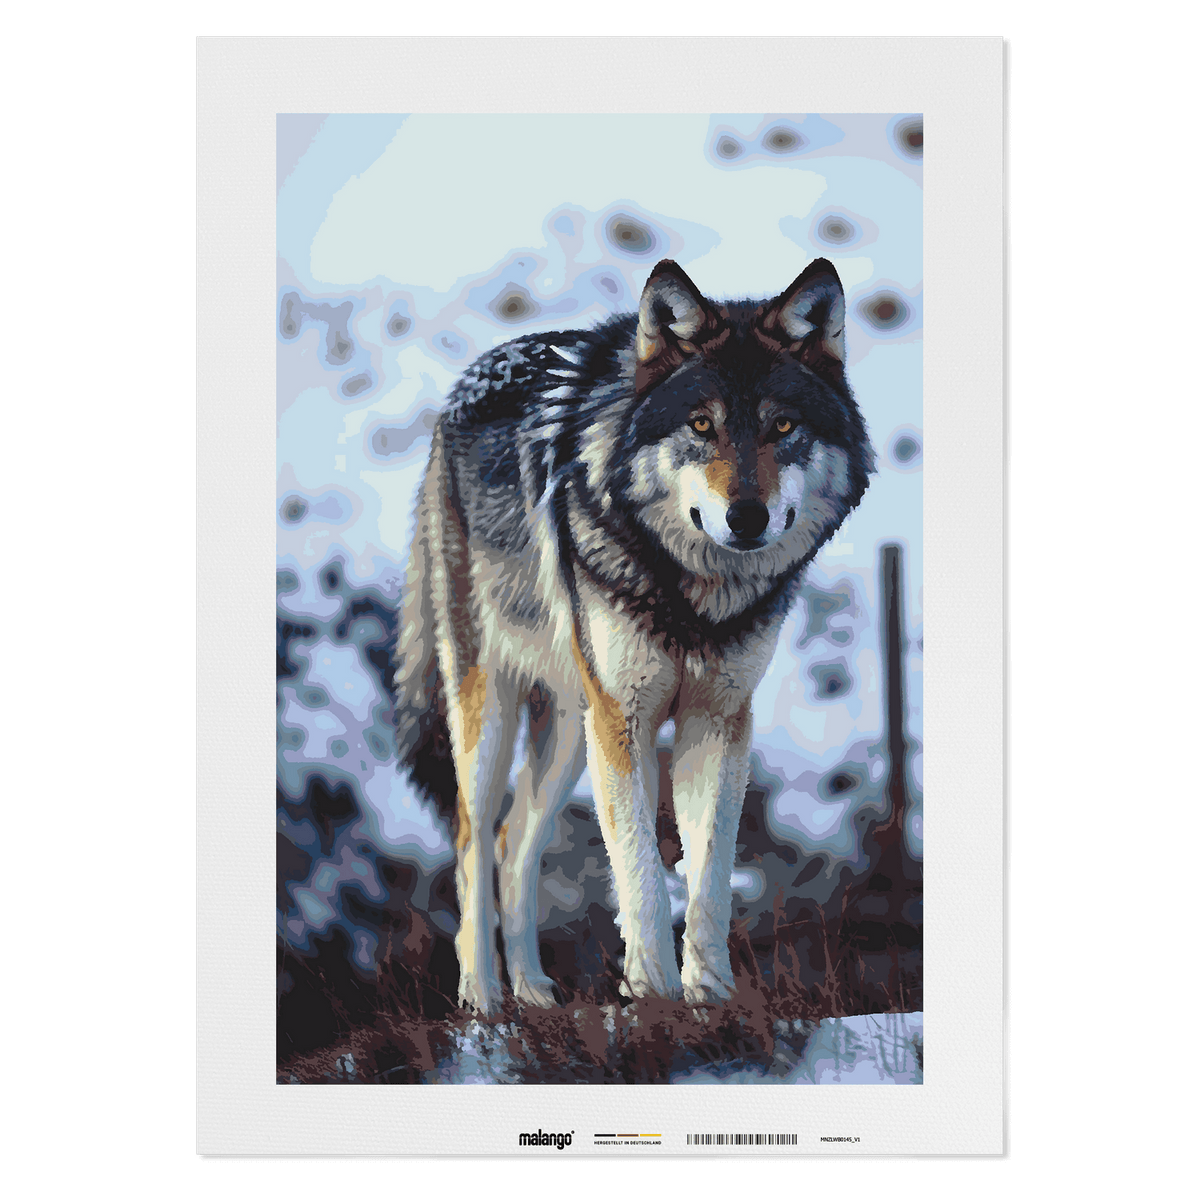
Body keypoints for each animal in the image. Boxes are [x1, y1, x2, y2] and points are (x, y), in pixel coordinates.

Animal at [393, 258, 873, 1013]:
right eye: (702, 425)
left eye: (783, 425)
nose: (746, 516)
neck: (694, 596)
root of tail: (459, 391)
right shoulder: (626, 721)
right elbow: (643, 873)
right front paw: (654, 995)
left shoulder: (718, 720)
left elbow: (709, 877)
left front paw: (710, 998)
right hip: (496, 712)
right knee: (473, 840)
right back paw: (484, 1003)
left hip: (569, 729)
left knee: (513, 842)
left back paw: (534, 994)